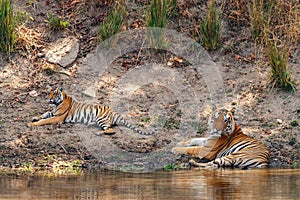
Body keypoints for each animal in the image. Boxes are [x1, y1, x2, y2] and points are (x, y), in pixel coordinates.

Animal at [27, 86, 156, 136]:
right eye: (49, 93)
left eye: (55, 93)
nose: (49, 99)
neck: (58, 103)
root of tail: (114, 111)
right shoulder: (53, 112)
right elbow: (44, 114)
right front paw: (34, 118)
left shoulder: (57, 117)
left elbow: (45, 120)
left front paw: (32, 124)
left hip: (101, 118)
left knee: (111, 130)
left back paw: (98, 133)